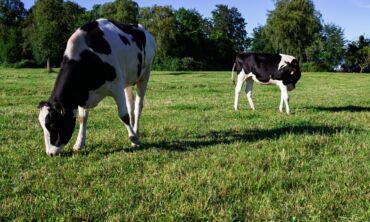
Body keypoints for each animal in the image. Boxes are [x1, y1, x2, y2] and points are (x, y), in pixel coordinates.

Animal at [38, 18, 156, 156]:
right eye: (42, 126)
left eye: (53, 125)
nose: (50, 153)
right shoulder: (83, 94)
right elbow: (83, 118)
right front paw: (79, 144)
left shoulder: (117, 85)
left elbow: (123, 115)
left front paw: (134, 139)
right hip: (127, 80)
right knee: (131, 105)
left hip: (145, 74)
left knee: (138, 106)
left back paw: (135, 133)